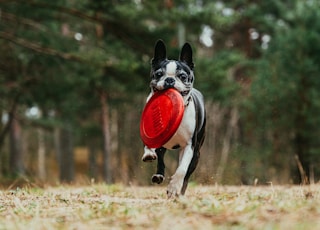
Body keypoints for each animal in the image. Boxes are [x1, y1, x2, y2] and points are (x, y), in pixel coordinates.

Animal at [141, 40, 206, 198]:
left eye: (182, 76)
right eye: (158, 74)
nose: (169, 80)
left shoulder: (189, 146)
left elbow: (182, 169)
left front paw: (174, 187)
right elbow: (149, 144)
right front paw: (148, 153)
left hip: (197, 154)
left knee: (187, 174)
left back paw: (180, 191)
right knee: (161, 159)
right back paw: (158, 175)